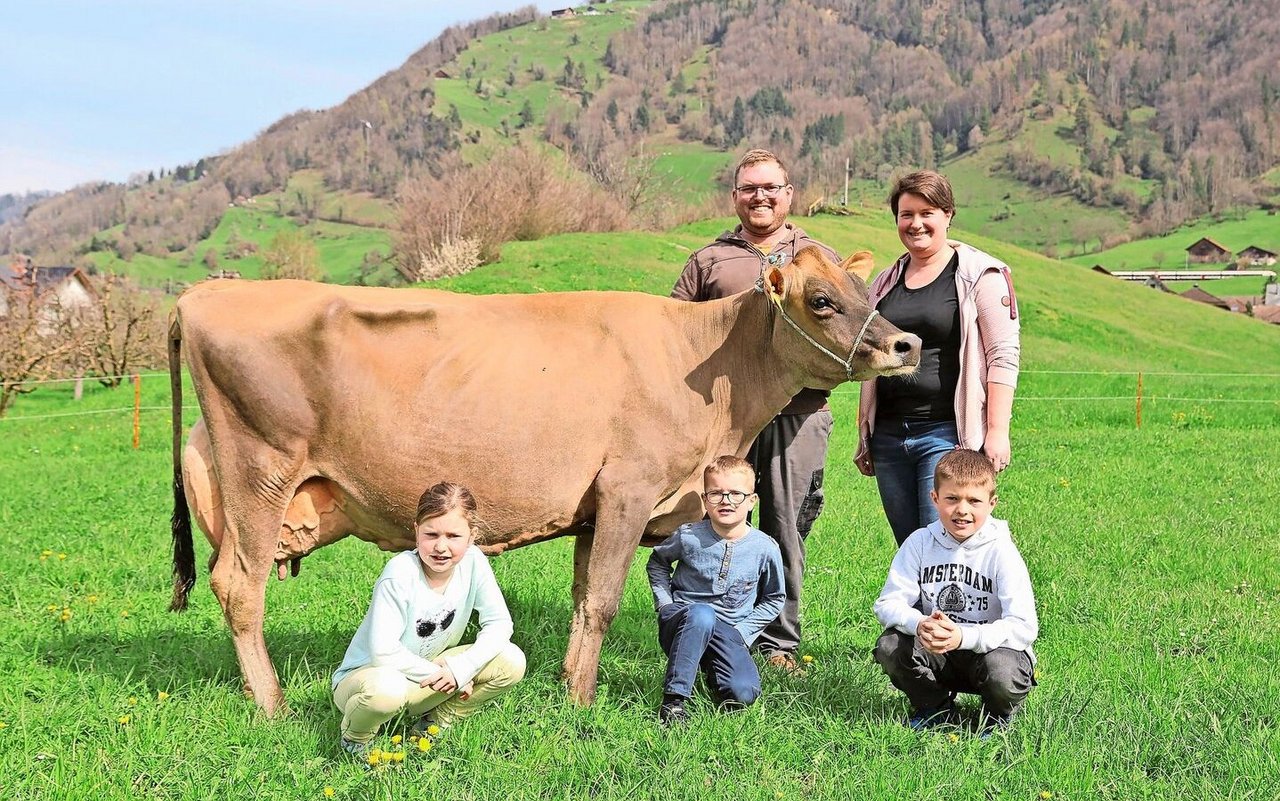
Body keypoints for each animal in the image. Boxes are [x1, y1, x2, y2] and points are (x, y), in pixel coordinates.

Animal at [167, 248, 921, 711]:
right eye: (821, 299)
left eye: (865, 289)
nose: (905, 344)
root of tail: (203, 294)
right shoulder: (628, 490)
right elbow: (605, 602)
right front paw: (581, 701)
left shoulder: (594, 507)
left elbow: (585, 596)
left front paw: (567, 683)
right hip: (258, 471)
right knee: (239, 585)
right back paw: (271, 704)